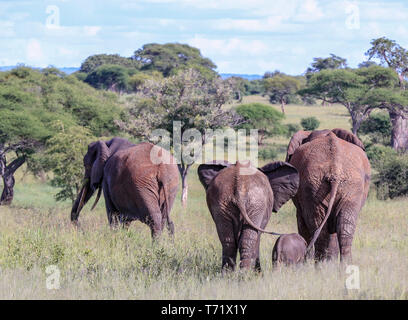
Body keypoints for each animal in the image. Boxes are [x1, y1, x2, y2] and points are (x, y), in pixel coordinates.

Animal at [286, 127, 372, 262]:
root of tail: (334, 169)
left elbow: (302, 225)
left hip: (322, 187)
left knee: (323, 230)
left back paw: (322, 265)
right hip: (342, 187)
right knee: (342, 229)